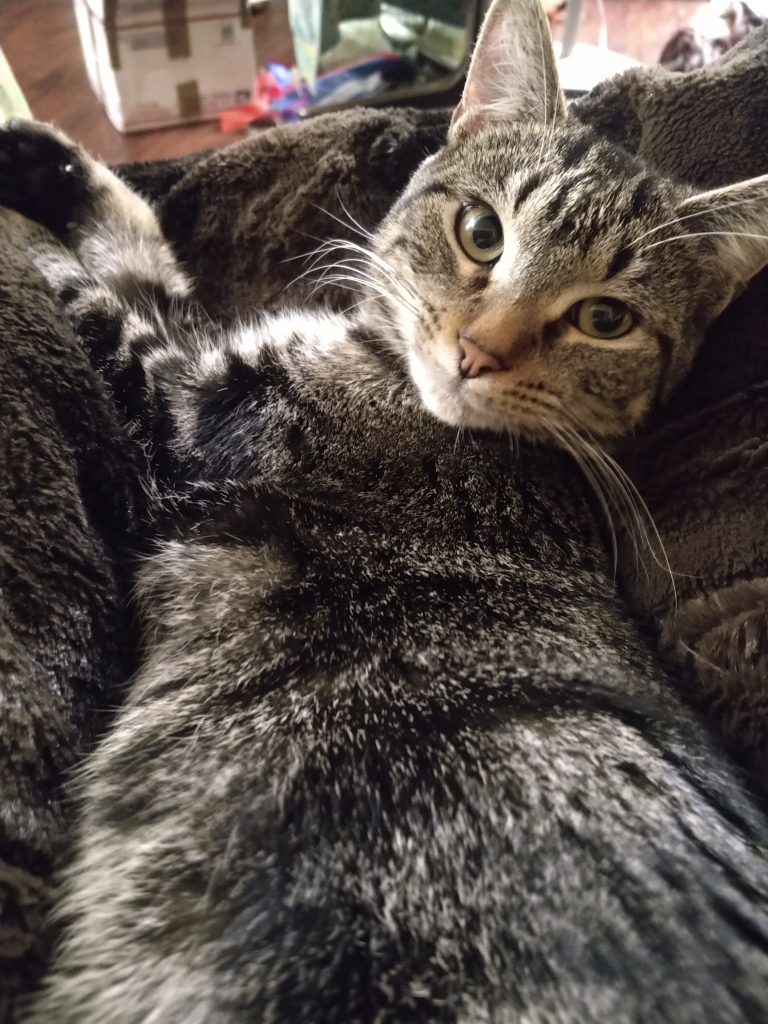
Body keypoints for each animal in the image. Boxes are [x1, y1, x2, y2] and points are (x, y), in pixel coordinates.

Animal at [4, 2, 768, 1024]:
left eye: (605, 319)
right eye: (482, 232)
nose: (480, 350)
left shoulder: (191, 409)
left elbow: (106, 293)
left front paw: (31, 226)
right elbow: (145, 248)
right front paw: (40, 155)